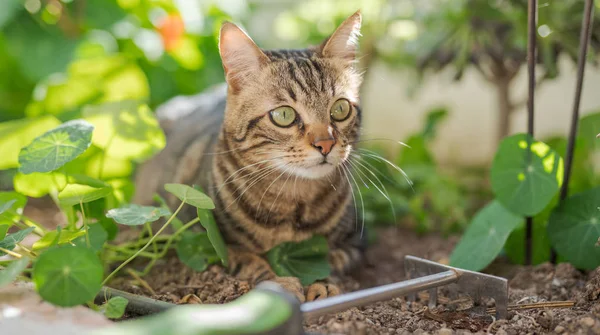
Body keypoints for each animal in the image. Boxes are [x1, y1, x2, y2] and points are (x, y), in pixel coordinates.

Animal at [135, 10, 366, 302]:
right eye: (284, 115)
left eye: (340, 109)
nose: (325, 143)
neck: (291, 201)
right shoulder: (199, 239)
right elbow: (245, 259)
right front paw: (279, 284)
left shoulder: (355, 242)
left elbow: (330, 258)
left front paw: (322, 282)